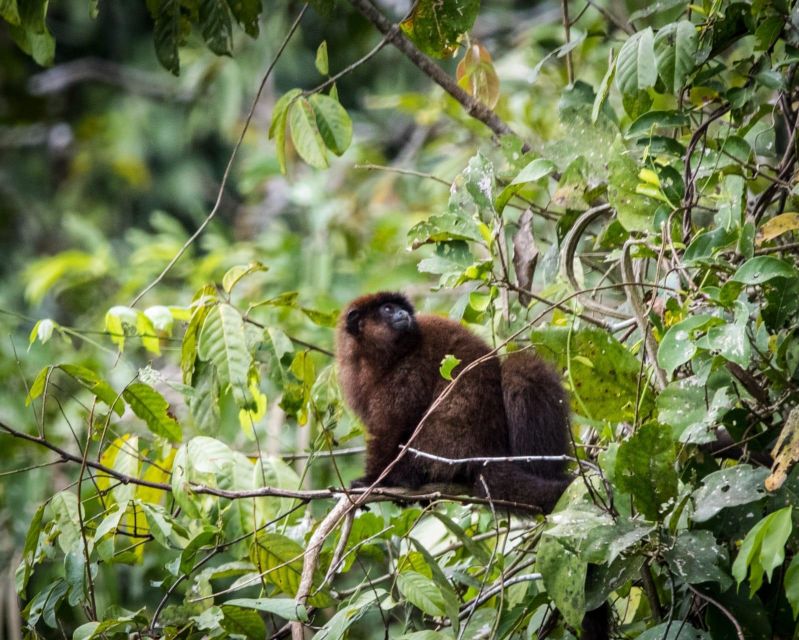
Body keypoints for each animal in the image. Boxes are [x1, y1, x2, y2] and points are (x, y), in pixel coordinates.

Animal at [334, 292, 572, 512]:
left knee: (522, 366)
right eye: (388, 309)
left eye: (396, 308)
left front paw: (373, 480)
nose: (403, 314)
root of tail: (487, 453)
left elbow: (391, 427)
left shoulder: (408, 369)